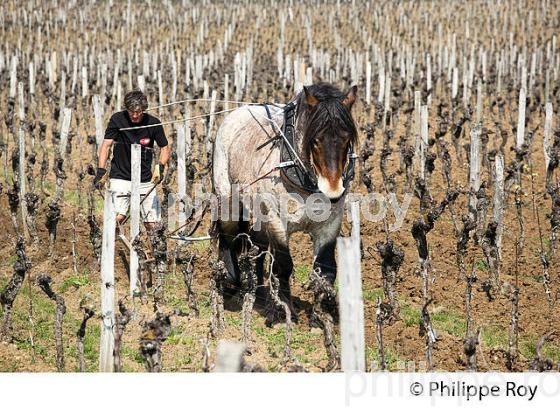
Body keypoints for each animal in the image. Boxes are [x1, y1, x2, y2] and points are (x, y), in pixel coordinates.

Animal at [212, 83, 356, 326]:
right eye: (315, 140)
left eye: (347, 140)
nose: (333, 191)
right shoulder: (277, 221)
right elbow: (283, 265)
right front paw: (284, 311)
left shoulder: (330, 225)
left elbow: (325, 269)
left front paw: (320, 318)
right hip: (229, 198)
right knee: (227, 234)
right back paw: (231, 281)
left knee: (258, 246)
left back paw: (260, 293)